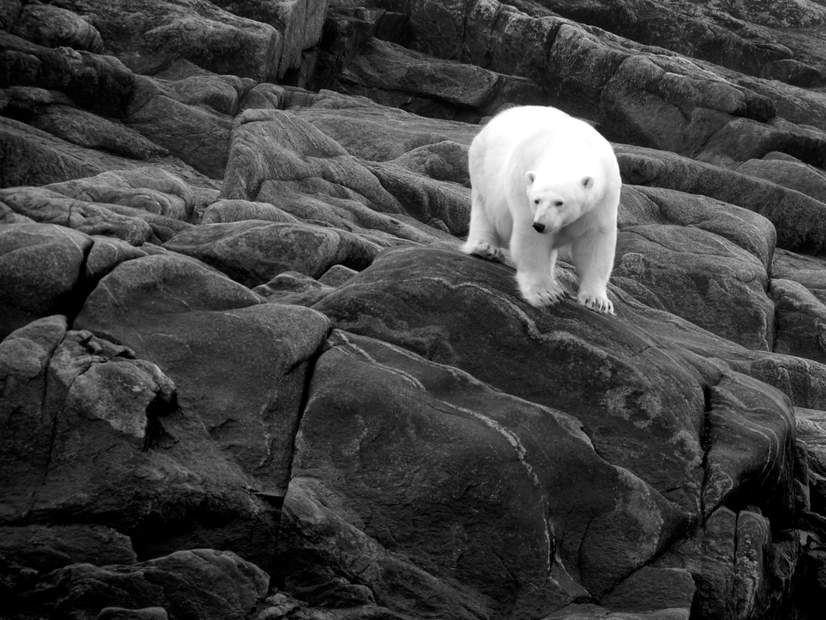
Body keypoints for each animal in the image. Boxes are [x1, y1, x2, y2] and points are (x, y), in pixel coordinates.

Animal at [461, 105, 621, 314]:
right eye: (536, 200)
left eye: (560, 202)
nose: (540, 225)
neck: (569, 146)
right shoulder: (522, 186)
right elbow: (531, 241)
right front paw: (546, 293)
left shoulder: (603, 198)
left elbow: (595, 242)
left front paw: (597, 301)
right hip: (484, 174)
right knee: (485, 212)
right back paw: (484, 248)